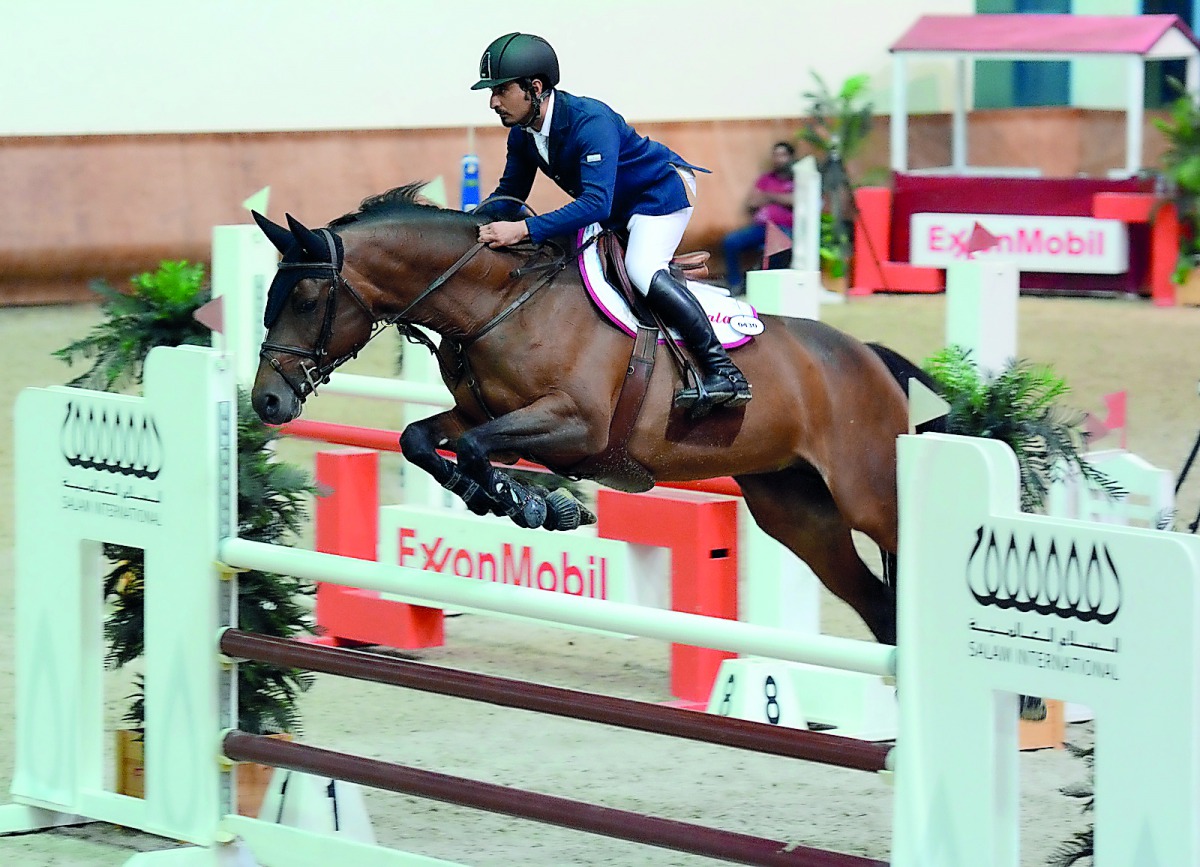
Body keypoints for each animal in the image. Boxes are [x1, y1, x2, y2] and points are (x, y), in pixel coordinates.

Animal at [246, 182, 936, 643]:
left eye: (305, 298)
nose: (267, 401)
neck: (497, 302)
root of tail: (872, 360)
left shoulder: (576, 423)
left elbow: (473, 449)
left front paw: (530, 504)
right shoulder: (481, 414)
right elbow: (425, 439)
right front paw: (503, 499)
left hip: (870, 497)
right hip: (796, 511)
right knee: (879, 608)